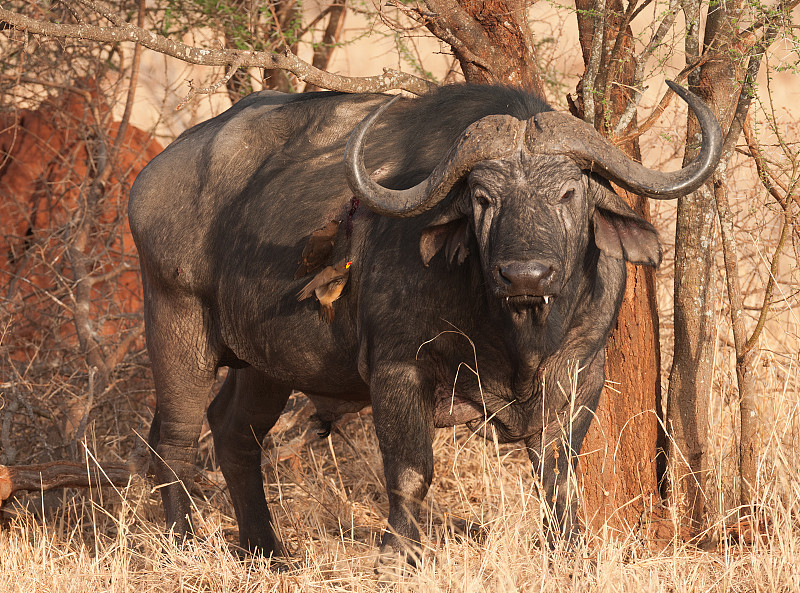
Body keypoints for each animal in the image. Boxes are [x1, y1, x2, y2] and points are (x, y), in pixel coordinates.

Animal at [128, 81, 720, 560]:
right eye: (482, 197)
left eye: (568, 192)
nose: (525, 274)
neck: (515, 333)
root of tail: (153, 175)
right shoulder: (397, 371)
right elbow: (411, 472)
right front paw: (397, 555)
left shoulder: (581, 369)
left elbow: (557, 472)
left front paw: (568, 550)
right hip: (176, 324)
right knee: (175, 439)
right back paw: (185, 543)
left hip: (265, 365)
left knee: (234, 432)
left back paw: (266, 550)